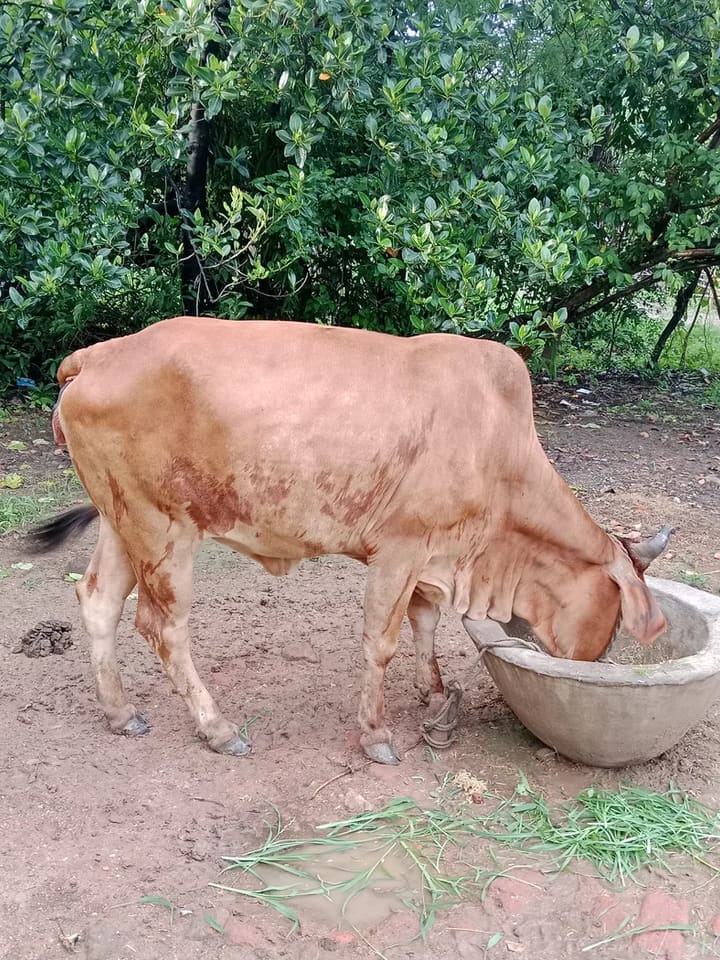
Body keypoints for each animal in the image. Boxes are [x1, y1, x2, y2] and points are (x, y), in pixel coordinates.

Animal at [30, 316, 669, 764]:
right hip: (163, 529)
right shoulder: (400, 551)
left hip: (121, 520)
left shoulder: (429, 559)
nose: (601, 663)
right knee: (163, 627)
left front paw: (435, 697)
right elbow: (380, 643)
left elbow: (425, 624)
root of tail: (100, 354)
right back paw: (218, 729)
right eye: (616, 614)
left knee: (98, 601)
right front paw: (376, 734)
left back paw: (120, 712)